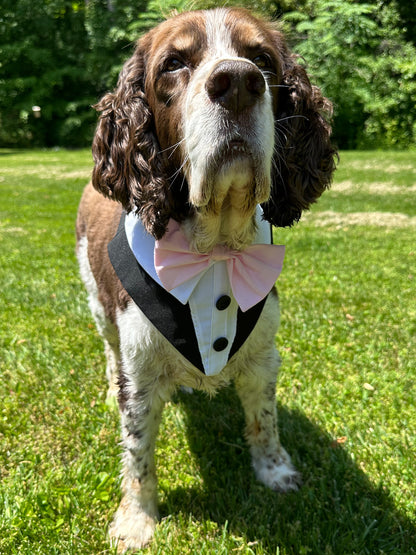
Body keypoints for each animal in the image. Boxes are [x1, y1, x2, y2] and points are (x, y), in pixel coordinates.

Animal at [75, 6, 338, 552]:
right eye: (174, 63)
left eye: (263, 60)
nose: (237, 82)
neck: (214, 249)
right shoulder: (139, 371)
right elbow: (138, 455)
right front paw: (137, 520)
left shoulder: (263, 357)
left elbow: (265, 421)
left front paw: (275, 473)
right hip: (97, 307)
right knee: (108, 351)